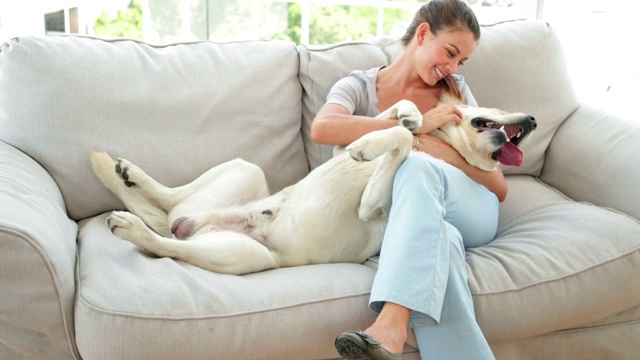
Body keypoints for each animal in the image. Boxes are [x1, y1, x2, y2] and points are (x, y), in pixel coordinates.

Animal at [92, 97, 536, 274]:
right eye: (498, 108)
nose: (533, 120)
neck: (450, 153)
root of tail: (190, 225)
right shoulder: (339, 145)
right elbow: (397, 120)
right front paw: (410, 117)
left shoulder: (371, 207)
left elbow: (400, 141)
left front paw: (373, 145)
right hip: (244, 171)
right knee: (168, 200)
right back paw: (125, 171)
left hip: (244, 254)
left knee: (167, 241)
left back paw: (131, 224)